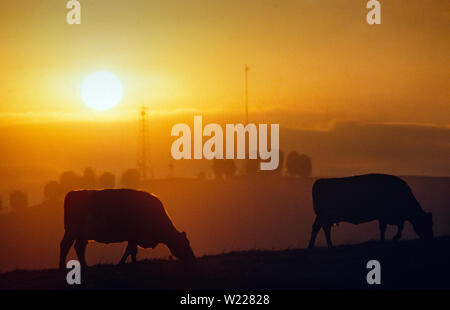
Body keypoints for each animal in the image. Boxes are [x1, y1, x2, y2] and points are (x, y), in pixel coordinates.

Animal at [59, 189, 194, 268]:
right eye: (185, 244)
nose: (192, 258)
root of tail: (72, 193)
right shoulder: (134, 236)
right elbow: (131, 250)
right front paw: (125, 262)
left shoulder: (133, 238)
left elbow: (131, 250)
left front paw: (132, 262)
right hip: (76, 232)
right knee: (73, 246)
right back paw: (76, 266)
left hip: (74, 233)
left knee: (72, 246)